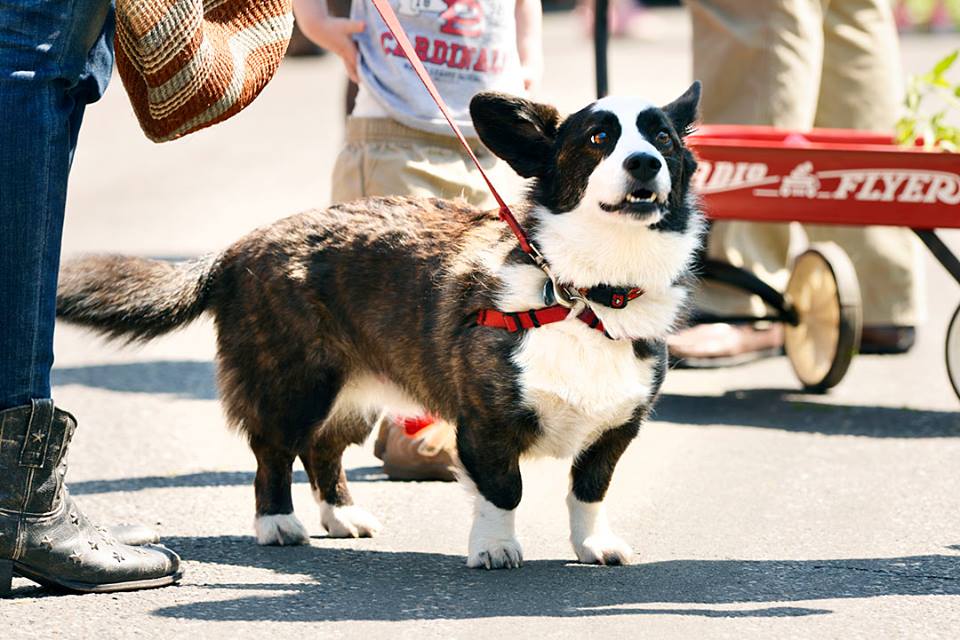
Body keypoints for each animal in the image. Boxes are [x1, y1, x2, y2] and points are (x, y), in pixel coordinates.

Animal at [57, 84, 704, 569]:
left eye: (662, 139)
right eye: (599, 139)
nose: (644, 163)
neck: (583, 291)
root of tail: (238, 246)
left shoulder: (614, 430)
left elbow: (589, 490)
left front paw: (594, 546)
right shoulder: (485, 425)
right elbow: (503, 491)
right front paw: (495, 549)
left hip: (355, 393)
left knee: (322, 449)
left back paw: (342, 515)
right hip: (295, 384)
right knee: (274, 451)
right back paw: (278, 523)